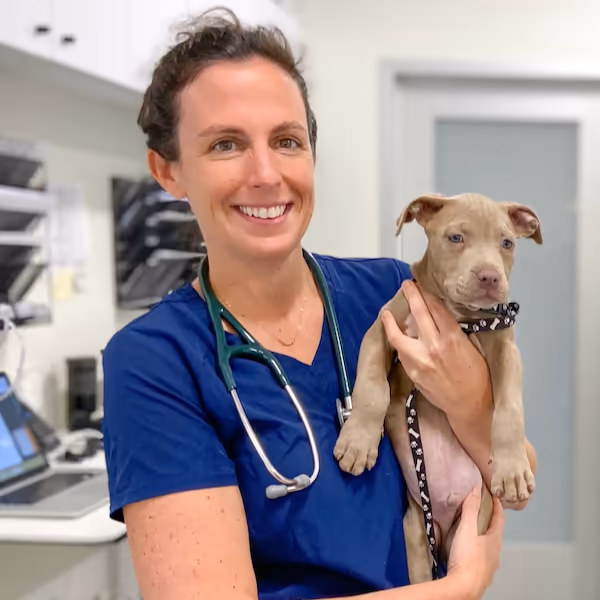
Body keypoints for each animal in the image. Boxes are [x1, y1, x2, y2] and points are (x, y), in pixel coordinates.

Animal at [333, 192, 540, 582]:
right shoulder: (383, 327)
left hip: (468, 526)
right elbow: (372, 386)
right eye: (455, 238)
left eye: (506, 243)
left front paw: (513, 471)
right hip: (414, 533)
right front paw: (358, 442)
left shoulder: (506, 348)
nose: (490, 276)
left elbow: (510, 409)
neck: (459, 317)